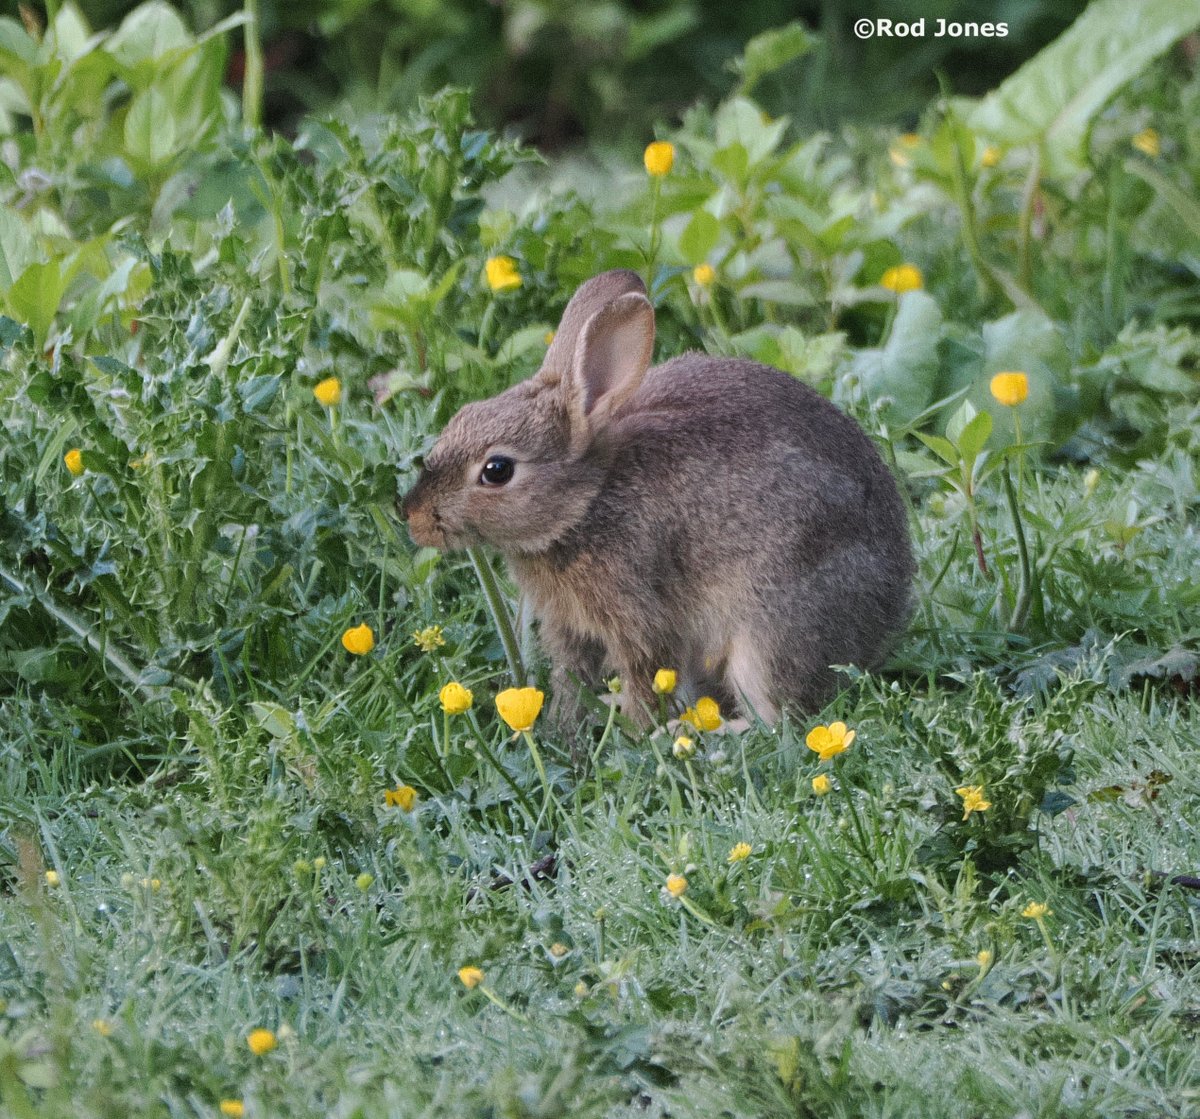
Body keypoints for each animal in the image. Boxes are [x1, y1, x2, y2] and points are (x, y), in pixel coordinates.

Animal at [398, 267, 912, 729]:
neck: (585, 504)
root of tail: (891, 609)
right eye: (461, 416)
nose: (414, 517)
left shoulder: (639, 613)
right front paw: (566, 722)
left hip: (773, 629)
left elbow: (647, 672)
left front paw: (636, 727)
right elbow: (571, 677)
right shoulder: (569, 628)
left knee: (776, 718)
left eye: (497, 470)